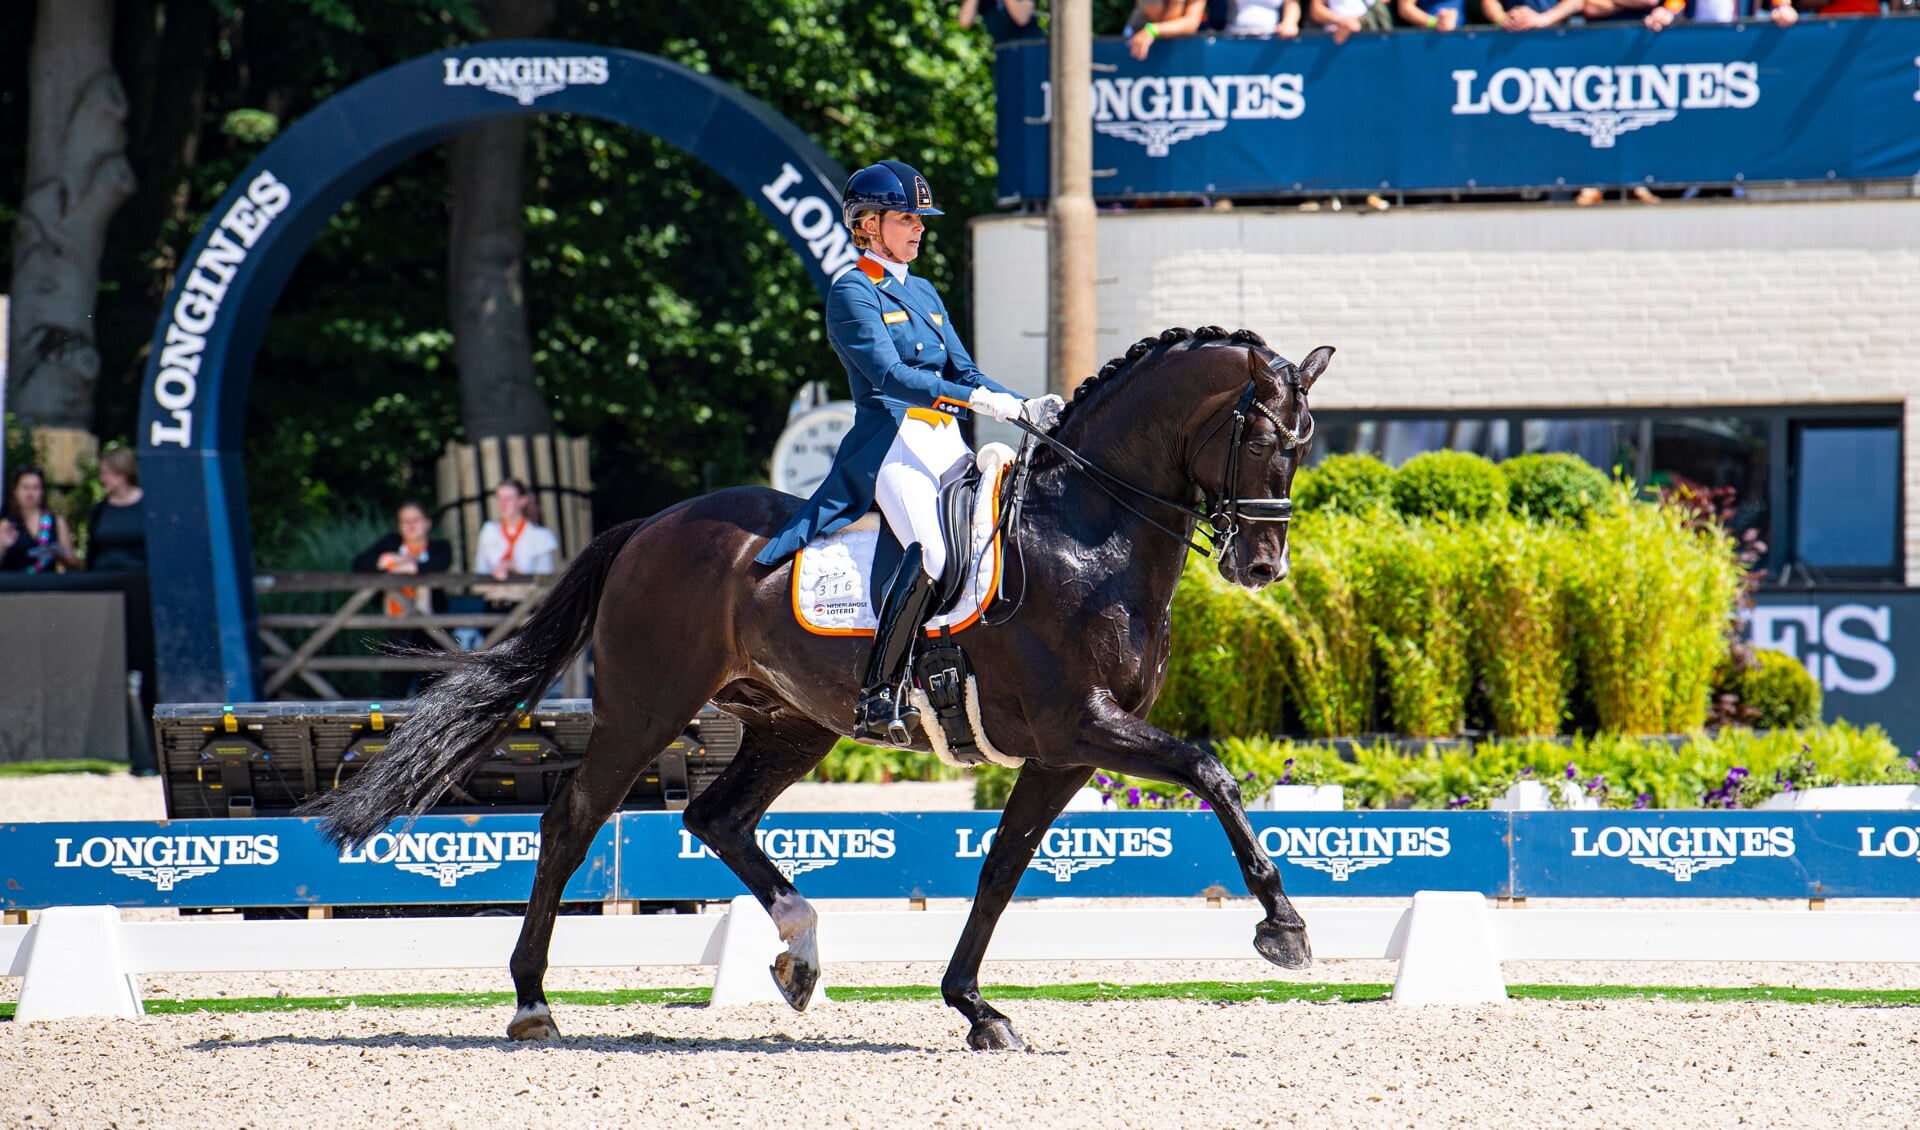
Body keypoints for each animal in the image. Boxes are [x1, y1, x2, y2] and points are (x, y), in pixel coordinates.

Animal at [303, 324, 1336, 1051]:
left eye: (1305, 444)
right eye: (1260, 439)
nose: (1262, 566)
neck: (1087, 534)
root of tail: (649, 525)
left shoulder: (1061, 754)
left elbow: (1001, 870)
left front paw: (975, 1008)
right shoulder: (1081, 726)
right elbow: (1211, 772)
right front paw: (1283, 927)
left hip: (792, 723)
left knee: (715, 816)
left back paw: (799, 954)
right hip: (646, 707)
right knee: (574, 818)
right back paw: (530, 1001)